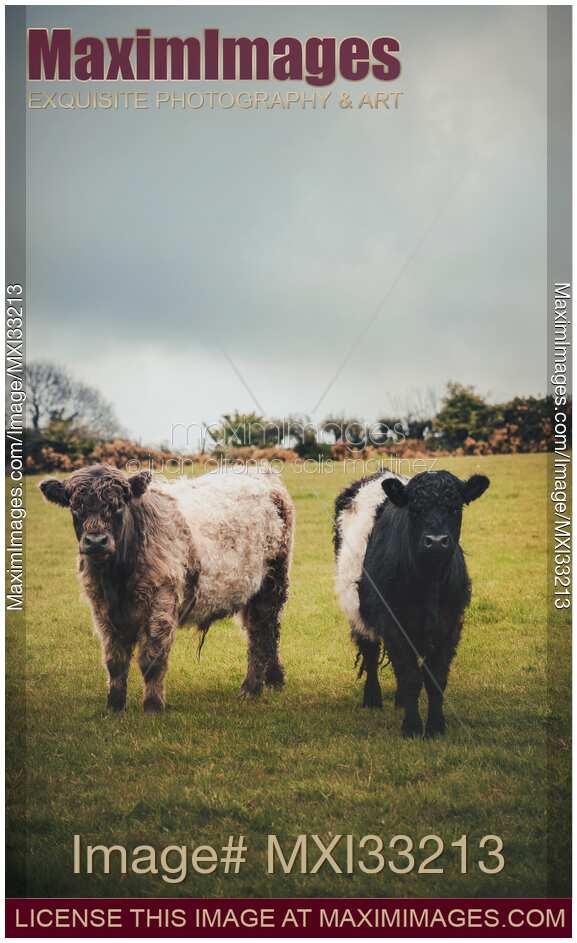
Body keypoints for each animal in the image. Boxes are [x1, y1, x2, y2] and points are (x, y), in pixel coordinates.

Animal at [40, 464, 294, 712]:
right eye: (75, 507)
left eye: (118, 505)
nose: (95, 541)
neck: (117, 578)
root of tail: (261, 473)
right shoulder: (103, 612)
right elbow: (115, 661)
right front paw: (115, 705)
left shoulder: (160, 605)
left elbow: (152, 659)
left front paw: (153, 706)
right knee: (262, 633)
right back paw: (273, 681)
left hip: (271, 584)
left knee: (262, 633)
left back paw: (252, 688)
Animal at [334, 469, 490, 738]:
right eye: (415, 510)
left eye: (455, 507)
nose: (436, 541)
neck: (429, 582)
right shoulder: (393, 625)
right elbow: (409, 676)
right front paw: (413, 727)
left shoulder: (450, 626)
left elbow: (435, 678)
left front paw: (436, 727)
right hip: (357, 613)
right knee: (371, 652)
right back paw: (372, 699)